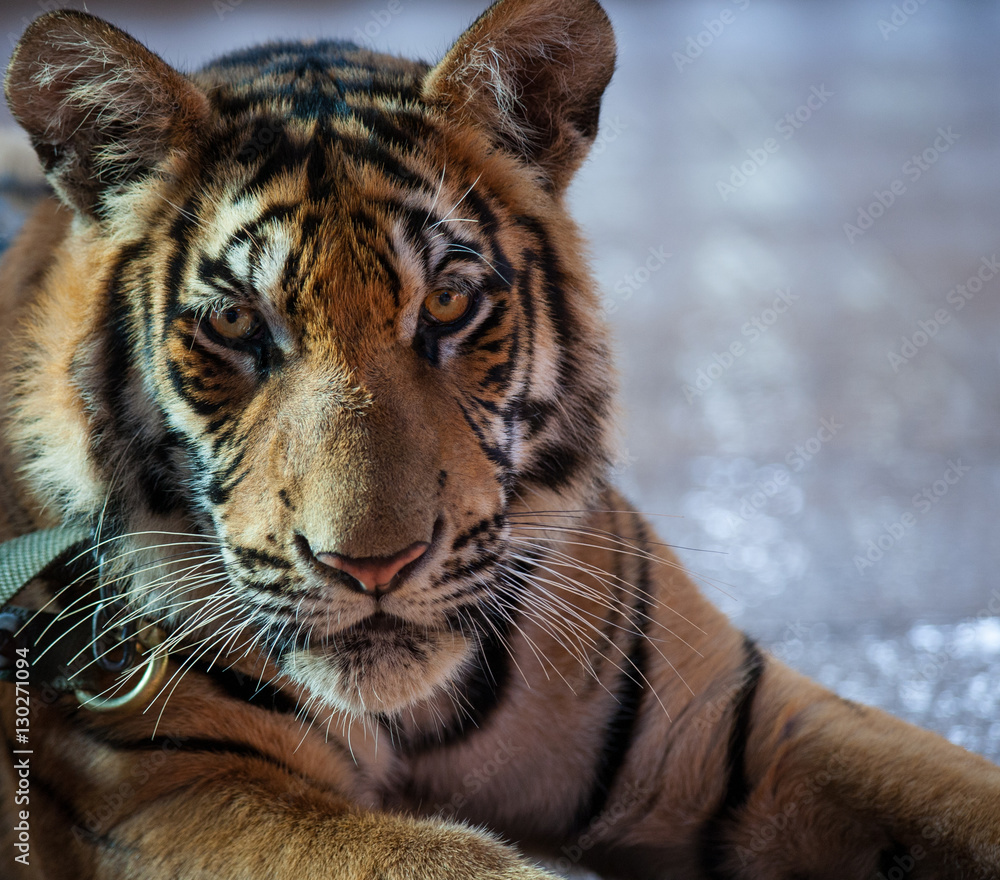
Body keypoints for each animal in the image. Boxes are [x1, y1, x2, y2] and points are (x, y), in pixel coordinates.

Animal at [0, 0, 998, 878]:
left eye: (446, 302)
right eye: (239, 324)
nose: (373, 568)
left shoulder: (743, 724)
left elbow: (962, 797)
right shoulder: (170, 789)